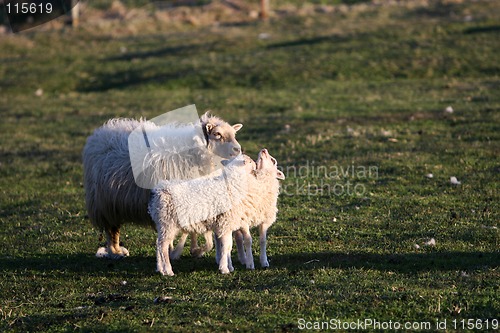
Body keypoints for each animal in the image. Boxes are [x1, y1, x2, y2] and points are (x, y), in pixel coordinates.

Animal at [82, 111, 242, 260]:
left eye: (234, 134)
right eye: (217, 134)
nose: (238, 149)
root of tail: (99, 134)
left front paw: (195, 249)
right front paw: (183, 251)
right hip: (104, 203)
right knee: (111, 230)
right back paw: (115, 252)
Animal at [149, 148, 286, 274]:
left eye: (272, 160)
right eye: (251, 162)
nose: (264, 150)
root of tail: (159, 191)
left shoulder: (228, 223)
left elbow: (231, 245)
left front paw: (229, 265)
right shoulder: (228, 222)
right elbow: (230, 245)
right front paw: (225, 268)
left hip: (163, 224)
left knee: (158, 244)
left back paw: (160, 269)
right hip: (168, 223)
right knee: (163, 245)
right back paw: (168, 270)